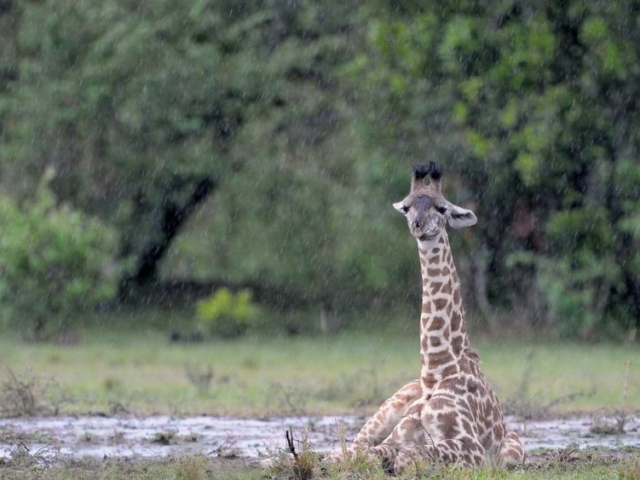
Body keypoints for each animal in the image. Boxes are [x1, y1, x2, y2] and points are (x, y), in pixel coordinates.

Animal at [340, 162, 524, 474]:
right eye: (406, 207)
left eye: (441, 208)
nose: (418, 226)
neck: (435, 371)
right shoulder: (398, 435)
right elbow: (371, 455)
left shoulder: (471, 447)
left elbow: (408, 457)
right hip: (386, 409)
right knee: (349, 448)